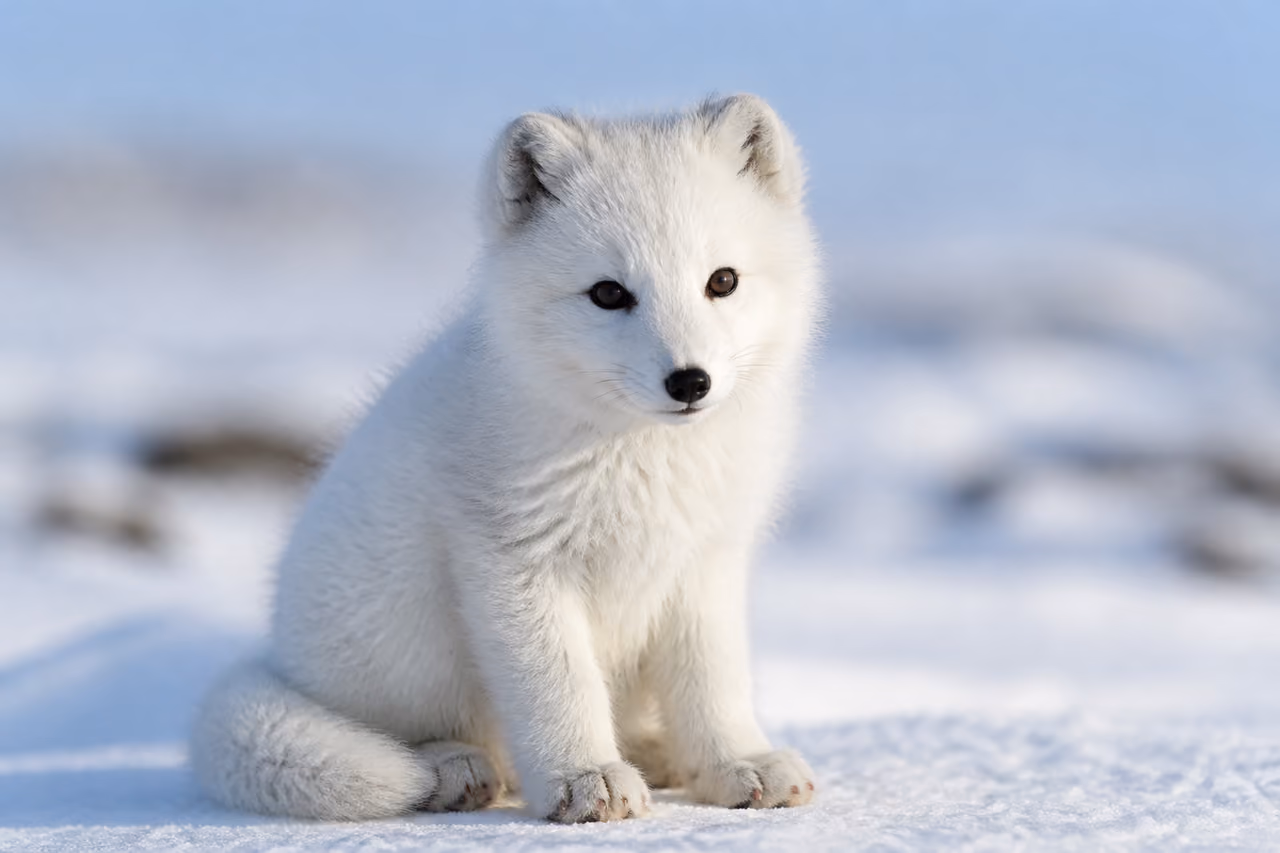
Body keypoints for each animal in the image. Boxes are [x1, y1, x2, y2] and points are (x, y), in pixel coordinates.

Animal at [190, 93, 821, 823]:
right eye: (609, 293)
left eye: (723, 281)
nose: (690, 382)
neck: (640, 459)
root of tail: (277, 659)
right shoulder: (512, 561)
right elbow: (558, 684)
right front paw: (586, 778)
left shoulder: (704, 563)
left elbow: (713, 682)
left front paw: (737, 765)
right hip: (403, 642)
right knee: (405, 733)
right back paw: (451, 768)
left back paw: (655, 753)